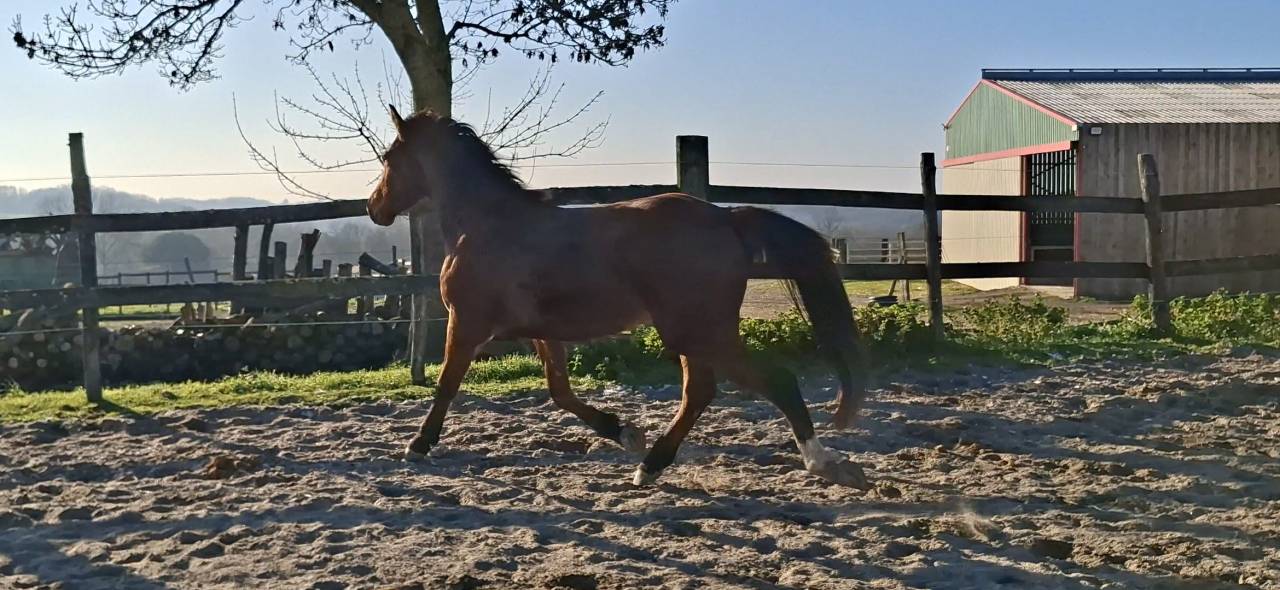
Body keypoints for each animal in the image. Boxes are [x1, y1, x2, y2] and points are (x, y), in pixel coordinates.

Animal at [367, 107, 870, 488]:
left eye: (389, 157)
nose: (375, 208)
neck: (485, 225)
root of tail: (725, 219)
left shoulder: (467, 322)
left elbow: (447, 384)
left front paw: (418, 445)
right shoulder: (543, 332)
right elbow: (560, 392)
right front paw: (625, 432)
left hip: (698, 331)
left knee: (774, 381)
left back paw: (822, 462)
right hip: (694, 333)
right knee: (700, 391)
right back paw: (650, 465)